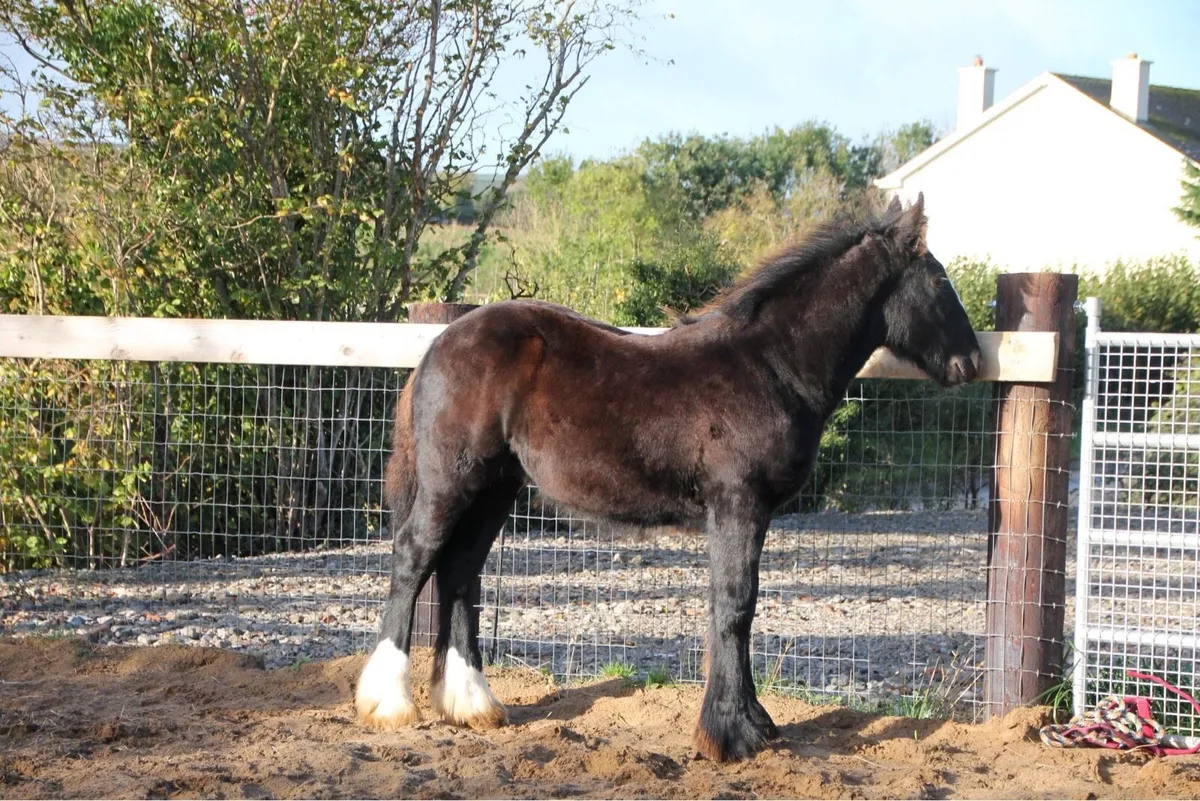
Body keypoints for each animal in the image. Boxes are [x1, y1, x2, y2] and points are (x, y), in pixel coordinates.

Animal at [355, 193, 982, 762]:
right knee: (413, 558)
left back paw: (472, 704)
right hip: (452, 482)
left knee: (459, 571)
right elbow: (735, 605)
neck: (772, 365)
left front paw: (752, 723)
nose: (972, 362)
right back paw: (388, 703)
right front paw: (731, 735)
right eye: (939, 280)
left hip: (495, 488)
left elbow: (737, 608)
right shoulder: (738, 504)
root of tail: (439, 345)